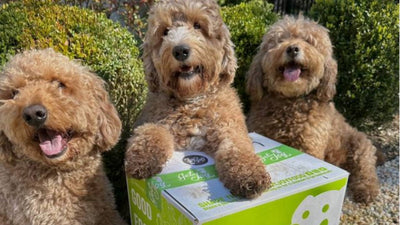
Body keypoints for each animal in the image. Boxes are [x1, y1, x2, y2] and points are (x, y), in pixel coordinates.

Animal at [123, 0, 270, 199]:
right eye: (165, 31)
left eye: (198, 26)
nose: (180, 50)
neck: (192, 100)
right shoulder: (155, 121)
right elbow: (151, 132)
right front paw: (142, 157)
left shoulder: (229, 128)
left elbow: (238, 146)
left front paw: (248, 173)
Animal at [245, 14, 380, 203]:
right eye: (280, 40)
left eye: (308, 41)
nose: (293, 48)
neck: (290, 102)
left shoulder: (309, 147)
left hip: (361, 146)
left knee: (366, 170)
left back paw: (366, 190)